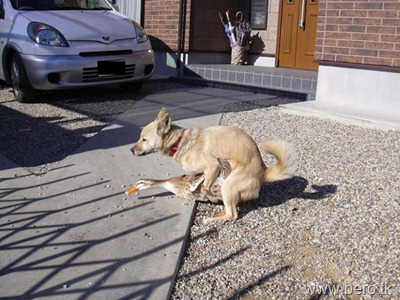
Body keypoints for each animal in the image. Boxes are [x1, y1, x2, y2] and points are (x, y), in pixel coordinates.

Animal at [130, 108, 296, 225]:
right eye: (140, 137)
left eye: (144, 139)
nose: (131, 150)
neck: (179, 141)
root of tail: (263, 170)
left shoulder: (213, 166)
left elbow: (204, 186)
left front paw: (206, 194)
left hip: (228, 185)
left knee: (232, 214)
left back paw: (211, 219)